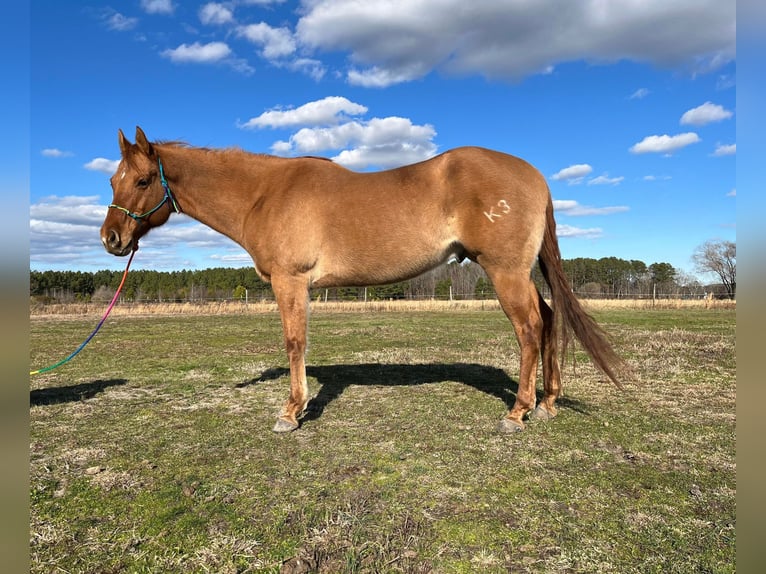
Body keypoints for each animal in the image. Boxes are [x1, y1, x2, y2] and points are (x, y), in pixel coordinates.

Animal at [99, 126, 624, 432]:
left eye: (143, 180)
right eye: (112, 180)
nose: (111, 238)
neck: (265, 193)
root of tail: (536, 176)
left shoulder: (291, 282)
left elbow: (295, 342)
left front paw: (292, 411)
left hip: (505, 271)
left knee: (530, 328)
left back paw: (519, 411)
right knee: (550, 319)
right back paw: (549, 402)